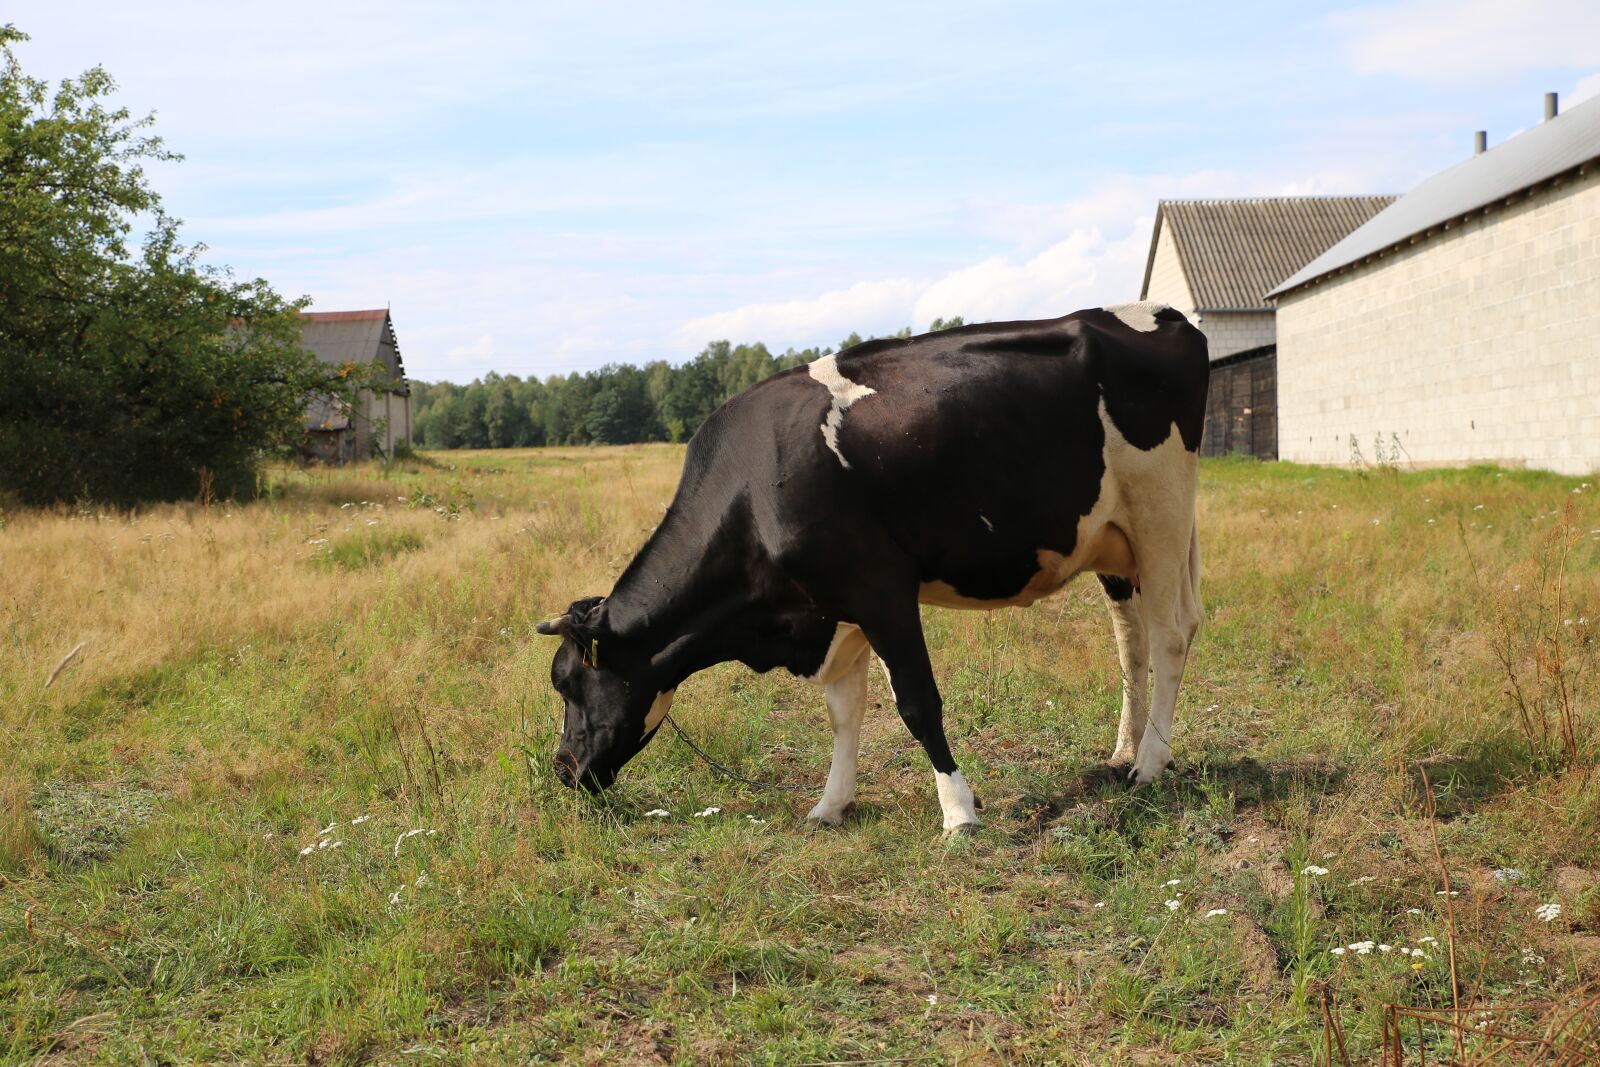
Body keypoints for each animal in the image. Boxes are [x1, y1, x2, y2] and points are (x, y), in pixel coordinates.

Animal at [537, 302, 1207, 836]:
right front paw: (830, 806)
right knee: (1132, 643)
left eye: (568, 683)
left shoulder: (881, 589)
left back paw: (1150, 763)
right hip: (1112, 542)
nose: (563, 770)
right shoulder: (834, 606)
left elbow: (916, 702)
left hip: (1162, 514)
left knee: (1171, 635)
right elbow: (844, 710)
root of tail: (1163, 313)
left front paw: (958, 810)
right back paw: (1124, 751)